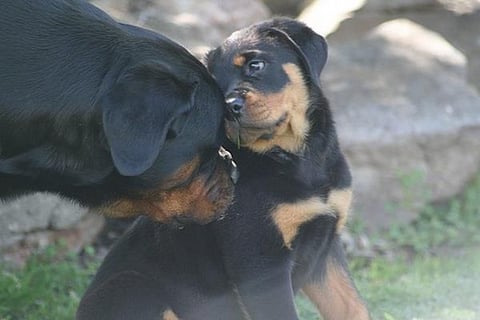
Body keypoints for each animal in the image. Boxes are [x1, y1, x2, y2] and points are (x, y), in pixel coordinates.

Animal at [77, 18, 370, 320]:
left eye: (255, 65)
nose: (231, 107)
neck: (296, 156)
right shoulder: (262, 263)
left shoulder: (327, 248)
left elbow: (354, 306)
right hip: (134, 288)